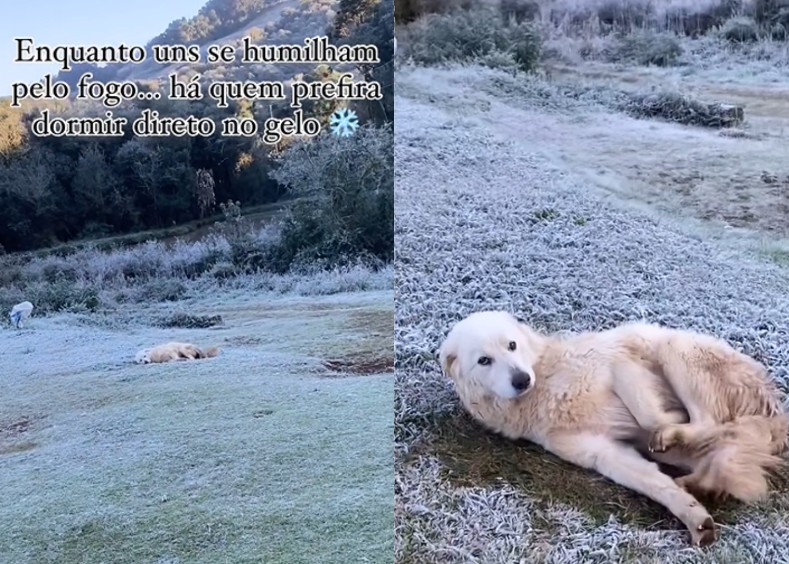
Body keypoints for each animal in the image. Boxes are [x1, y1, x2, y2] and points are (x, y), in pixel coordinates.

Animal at [438, 312, 788, 548]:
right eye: (484, 360)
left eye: (512, 345)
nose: (522, 379)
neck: (544, 380)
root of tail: (774, 409)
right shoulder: (602, 452)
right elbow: (654, 483)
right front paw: (692, 515)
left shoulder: (619, 363)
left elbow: (650, 417)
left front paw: (670, 418)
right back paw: (698, 483)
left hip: (673, 347)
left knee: (708, 421)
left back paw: (675, 434)